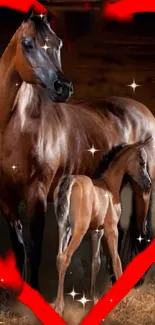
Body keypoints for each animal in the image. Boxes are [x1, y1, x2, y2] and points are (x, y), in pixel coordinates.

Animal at [0, 8, 155, 292]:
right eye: (27, 44)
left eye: (58, 43)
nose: (63, 87)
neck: (17, 125)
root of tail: (145, 111)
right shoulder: (6, 198)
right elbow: (19, 249)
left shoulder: (37, 195)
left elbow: (35, 249)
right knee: (122, 231)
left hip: (143, 186)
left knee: (141, 233)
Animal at [53, 137, 151, 314]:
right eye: (142, 162)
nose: (148, 183)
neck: (109, 185)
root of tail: (71, 180)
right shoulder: (111, 230)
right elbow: (117, 261)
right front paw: (123, 300)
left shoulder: (96, 232)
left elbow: (96, 263)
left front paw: (94, 299)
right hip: (78, 231)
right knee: (65, 259)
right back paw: (59, 306)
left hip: (64, 228)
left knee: (59, 257)